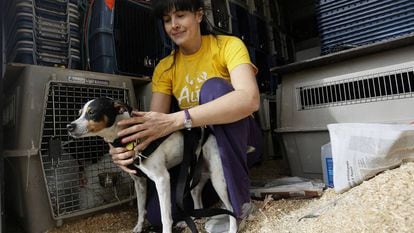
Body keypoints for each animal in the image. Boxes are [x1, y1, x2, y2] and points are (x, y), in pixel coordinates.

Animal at [66, 97, 238, 233]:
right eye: (79, 113)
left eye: (92, 112)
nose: (69, 126)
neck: (128, 135)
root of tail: (209, 133)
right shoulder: (139, 182)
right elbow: (141, 209)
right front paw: (138, 227)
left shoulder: (162, 180)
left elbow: (165, 217)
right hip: (194, 179)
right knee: (198, 201)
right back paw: (190, 221)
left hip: (218, 180)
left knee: (230, 208)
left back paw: (232, 228)